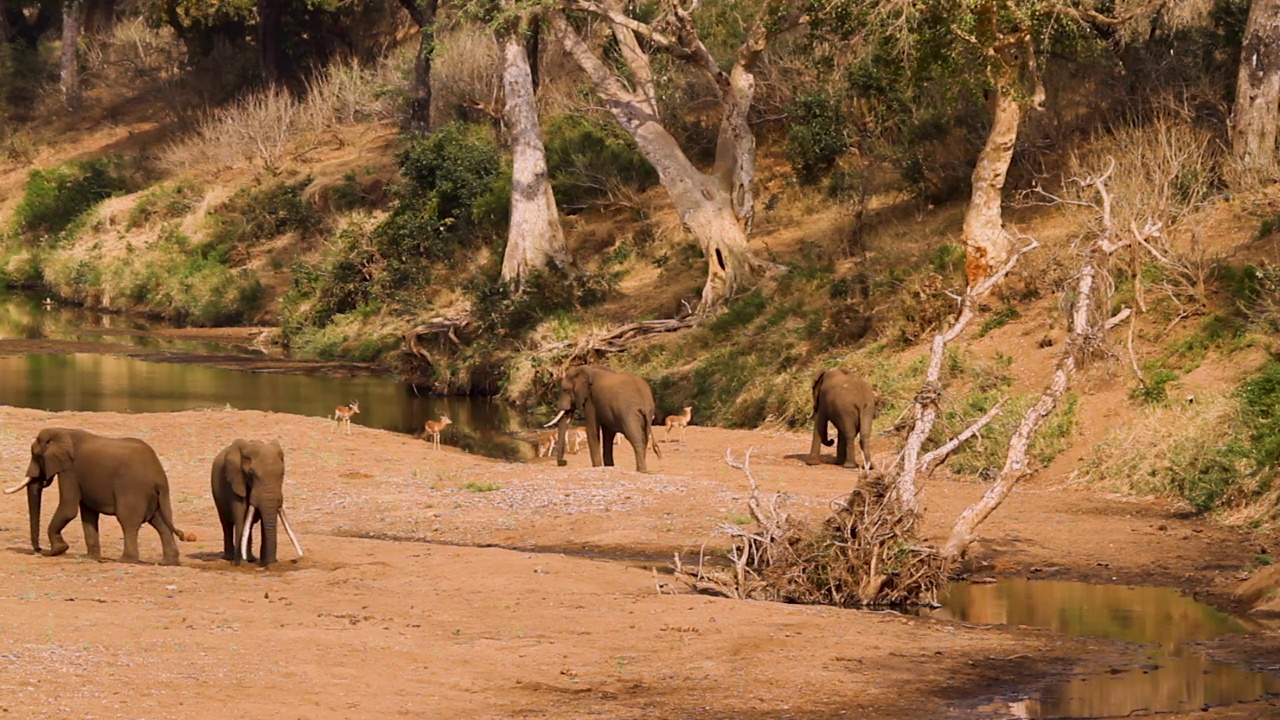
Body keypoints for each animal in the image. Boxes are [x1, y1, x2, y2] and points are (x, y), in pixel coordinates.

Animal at [3, 425, 195, 561]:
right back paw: (168, 563)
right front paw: (91, 558)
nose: (38, 550)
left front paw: (57, 551)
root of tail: (158, 476)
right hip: (159, 496)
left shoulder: (70, 471)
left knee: (129, 523)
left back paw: (126, 560)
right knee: (161, 524)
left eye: (36, 455)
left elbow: (69, 508)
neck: (63, 431)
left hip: (133, 491)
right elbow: (87, 513)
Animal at [209, 438, 302, 566]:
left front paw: (269, 564)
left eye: (282, 473)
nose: (273, 564)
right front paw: (240, 565)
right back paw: (229, 558)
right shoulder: (235, 481)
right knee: (226, 524)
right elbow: (240, 515)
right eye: (250, 473)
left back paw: (250, 559)